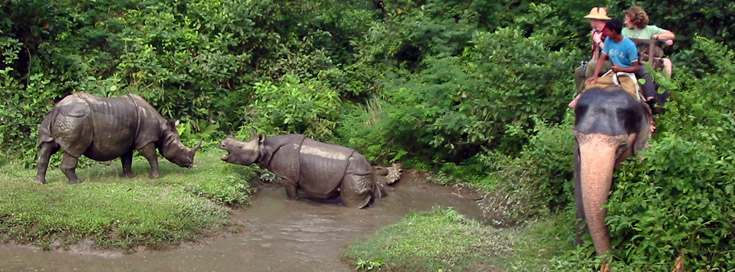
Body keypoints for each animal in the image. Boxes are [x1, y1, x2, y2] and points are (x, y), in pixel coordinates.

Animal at [34, 92, 201, 184]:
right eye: (180, 149)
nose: (190, 164)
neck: (163, 129)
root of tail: (57, 108)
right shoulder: (145, 140)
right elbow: (152, 157)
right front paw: (156, 177)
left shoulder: (127, 140)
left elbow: (127, 159)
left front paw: (129, 177)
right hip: (76, 119)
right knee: (73, 150)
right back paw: (76, 182)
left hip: (56, 118)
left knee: (47, 147)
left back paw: (38, 183)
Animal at [220, 130, 386, 208]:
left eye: (240, 147)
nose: (222, 144)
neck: (265, 147)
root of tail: (371, 169)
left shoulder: (288, 177)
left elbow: (292, 195)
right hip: (362, 173)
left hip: (355, 174)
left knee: (352, 202)